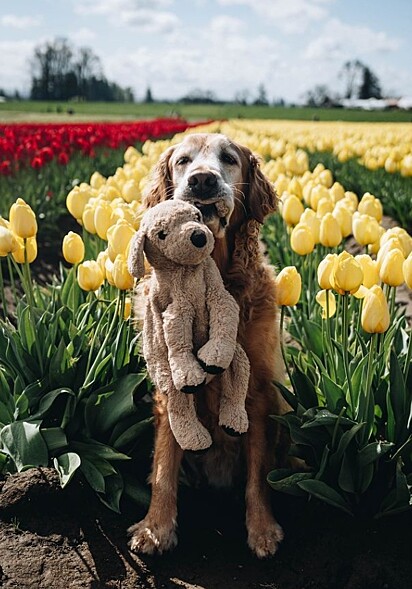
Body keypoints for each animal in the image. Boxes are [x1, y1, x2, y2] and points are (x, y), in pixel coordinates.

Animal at [130, 132, 288, 556]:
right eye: (182, 161)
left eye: (229, 159)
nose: (202, 180)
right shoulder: (169, 383)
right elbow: (163, 465)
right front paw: (155, 527)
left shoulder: (259, 391)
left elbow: (258, 474)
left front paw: (262, 529)